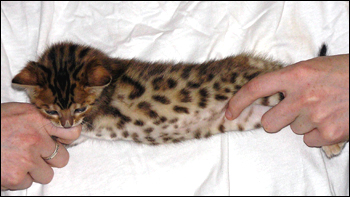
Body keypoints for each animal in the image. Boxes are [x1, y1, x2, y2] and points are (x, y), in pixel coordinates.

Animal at [12, 42, 346, 159]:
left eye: (79, 107)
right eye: (51, 110)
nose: (67, 121)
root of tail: (258, 64)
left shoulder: (90, 116)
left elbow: (79, 129)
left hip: (270, 89)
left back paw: (332, 145)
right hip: (256, 112)